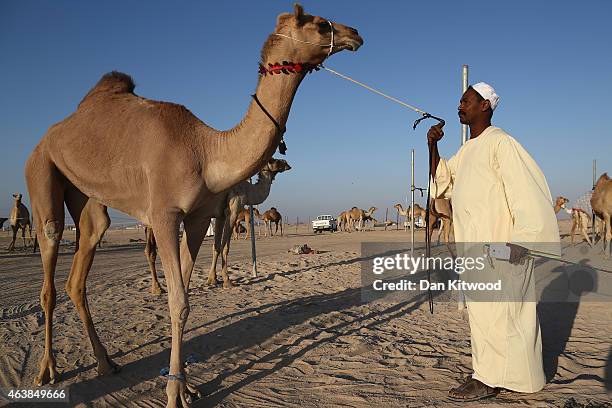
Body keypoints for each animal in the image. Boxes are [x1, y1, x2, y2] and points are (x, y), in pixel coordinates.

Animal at [23, 3, 360, 408]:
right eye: (321, 24)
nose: (356, 33)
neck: (206, 151)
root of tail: (50, 134)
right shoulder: (165, 216)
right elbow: (178, 302)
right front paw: (172, 393)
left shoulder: (198, 218)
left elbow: (185, 292)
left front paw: (185, 387)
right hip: (41, 169)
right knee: (50, 253)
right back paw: (48, 370)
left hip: (88, 197)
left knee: (83, 257)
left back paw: (105, 363)